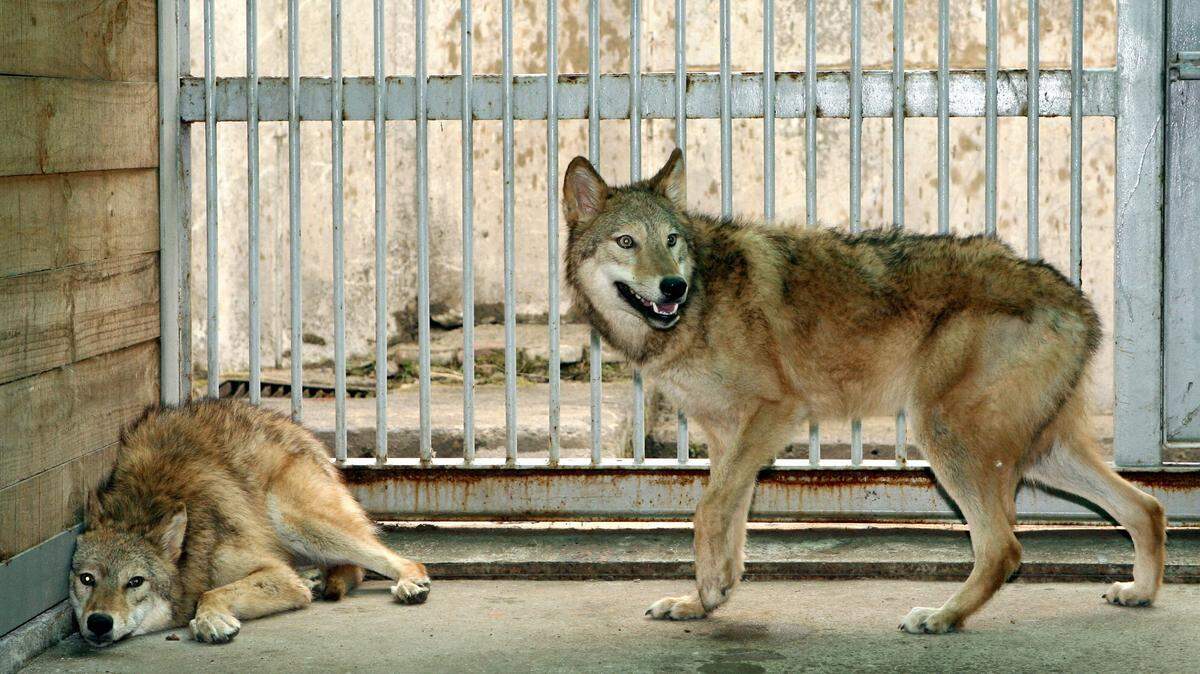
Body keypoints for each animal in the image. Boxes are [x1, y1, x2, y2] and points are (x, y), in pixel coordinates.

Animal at [70, 399, 431, 647]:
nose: (99, 622)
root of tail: (298, 430)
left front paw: (209, 620)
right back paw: (314, 578)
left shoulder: (277, 576)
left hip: (298, 521)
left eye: (136, 581)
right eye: (87, 579)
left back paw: (410, 584)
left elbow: (210, 593)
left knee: (392, 561)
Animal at [561, 148, 1166, 633]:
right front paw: (705, 599)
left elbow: (708, 510)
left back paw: (941, 617)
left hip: (945, 437)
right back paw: (1139, 592)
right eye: (626, 242)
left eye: (671, 240)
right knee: (1147, 506)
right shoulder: (729, 437)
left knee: (1005, 548)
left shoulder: (775, 414)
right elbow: (729, 521)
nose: (672, 286)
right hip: (1043, 454)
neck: (702, 301)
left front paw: (708, 589)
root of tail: (1077, 302)